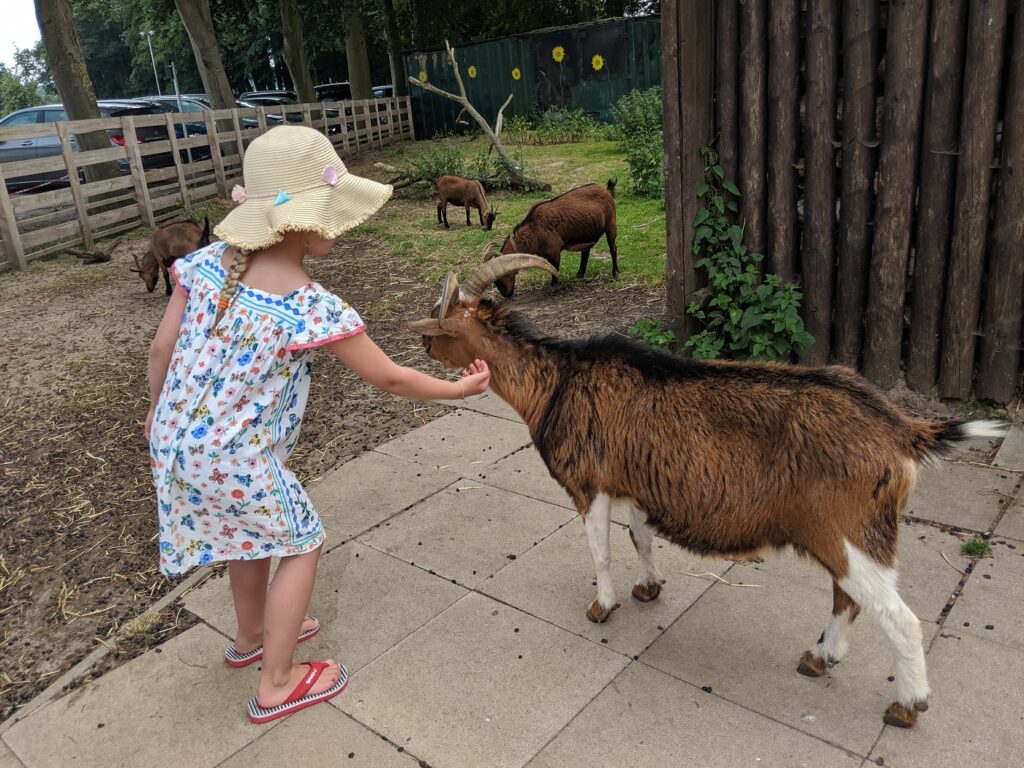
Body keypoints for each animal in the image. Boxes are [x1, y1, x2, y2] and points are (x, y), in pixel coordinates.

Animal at [403, 256, 1003, 729]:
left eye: (447, 320)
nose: (421, 340)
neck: (558, 381)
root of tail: (902, 430)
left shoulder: (588, 484)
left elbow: (601, 550)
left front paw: (603, 607)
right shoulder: (635, 484)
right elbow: (640, 538)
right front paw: (648, 589)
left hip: (851, 532)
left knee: (899, 617)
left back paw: (906, 706)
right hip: (847, 537)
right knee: (848, 596)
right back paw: (819, 657)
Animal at [485, 179, 618, 299]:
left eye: (502, 277)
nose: (506, 295)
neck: (534, 229)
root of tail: (607, 191)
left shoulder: (554, 251)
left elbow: (553, 268)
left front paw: (554, 287)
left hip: (611, 224)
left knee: (613, 249)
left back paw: (615, 273)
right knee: (586, 252)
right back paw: (580, 274)